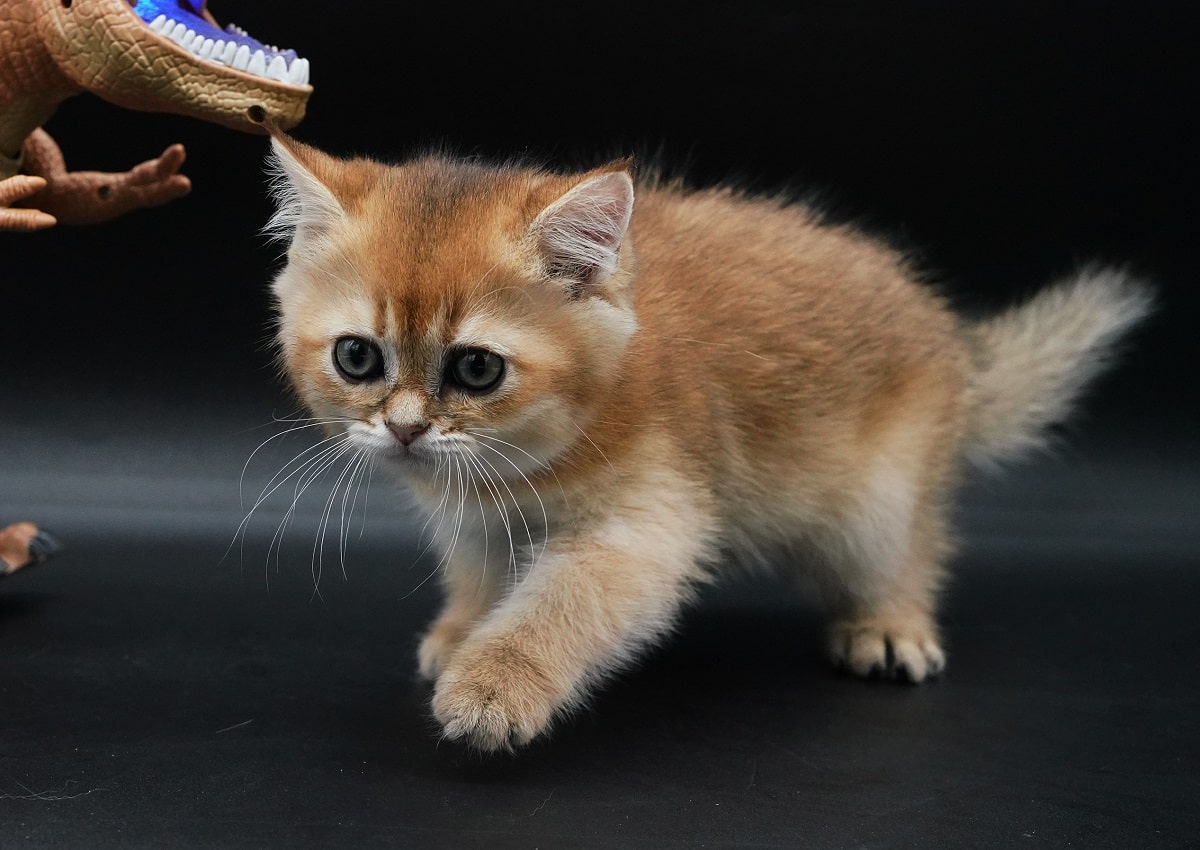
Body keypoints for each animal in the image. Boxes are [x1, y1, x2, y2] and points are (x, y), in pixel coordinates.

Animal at [265, 129, 1152, 753]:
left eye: (477, 368)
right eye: (357, 357)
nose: (405, 427)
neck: (526, 466)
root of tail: (954, 341)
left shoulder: (649, 524)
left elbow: (563, 602)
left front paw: (494, 684)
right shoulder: (480, 516)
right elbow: (482, 572)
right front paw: (462, 633)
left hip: (884, 494)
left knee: (904, 550)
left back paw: (891, 627)